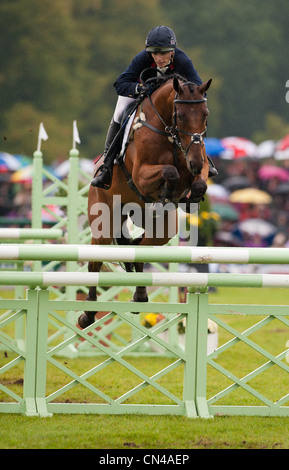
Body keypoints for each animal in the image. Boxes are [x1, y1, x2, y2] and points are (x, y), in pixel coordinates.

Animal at [77, 75, 210, 328]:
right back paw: (88, 313)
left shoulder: (200, 166)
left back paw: (139, 295)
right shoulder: (141, 175)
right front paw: (167, 191)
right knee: (95, 261)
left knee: (139, 249)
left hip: (162, 231)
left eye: (205, 114)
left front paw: (187, 197)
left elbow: (198, 183)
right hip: (103, 223)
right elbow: (170, 172)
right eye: (180, 115)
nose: (195, 163)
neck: (169, 134)